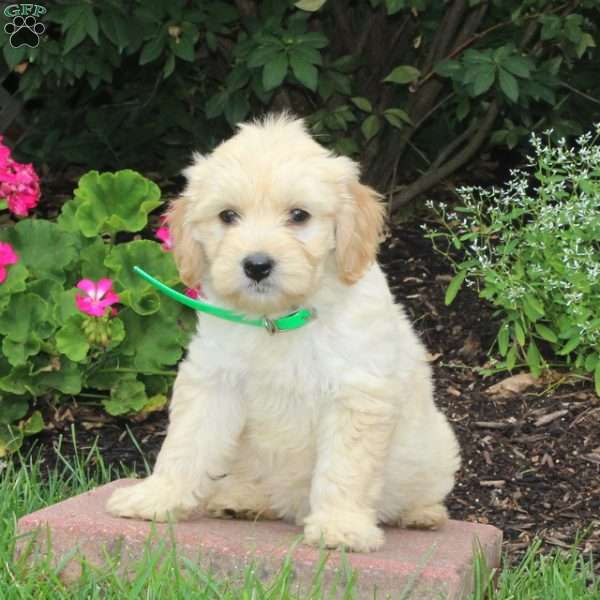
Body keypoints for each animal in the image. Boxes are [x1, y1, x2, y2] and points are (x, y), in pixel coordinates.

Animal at [106, 113, 460, 552]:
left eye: (299, 215)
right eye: (228, 216)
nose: (257, 265)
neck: (276, 319)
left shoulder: (357, 394)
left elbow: (345, 469)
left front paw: (340, 527)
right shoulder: (213, 380)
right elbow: (185, 444)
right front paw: (155, 497)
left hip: (436, 448)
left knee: (424, 489)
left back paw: (422, 514)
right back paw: (241, 500)